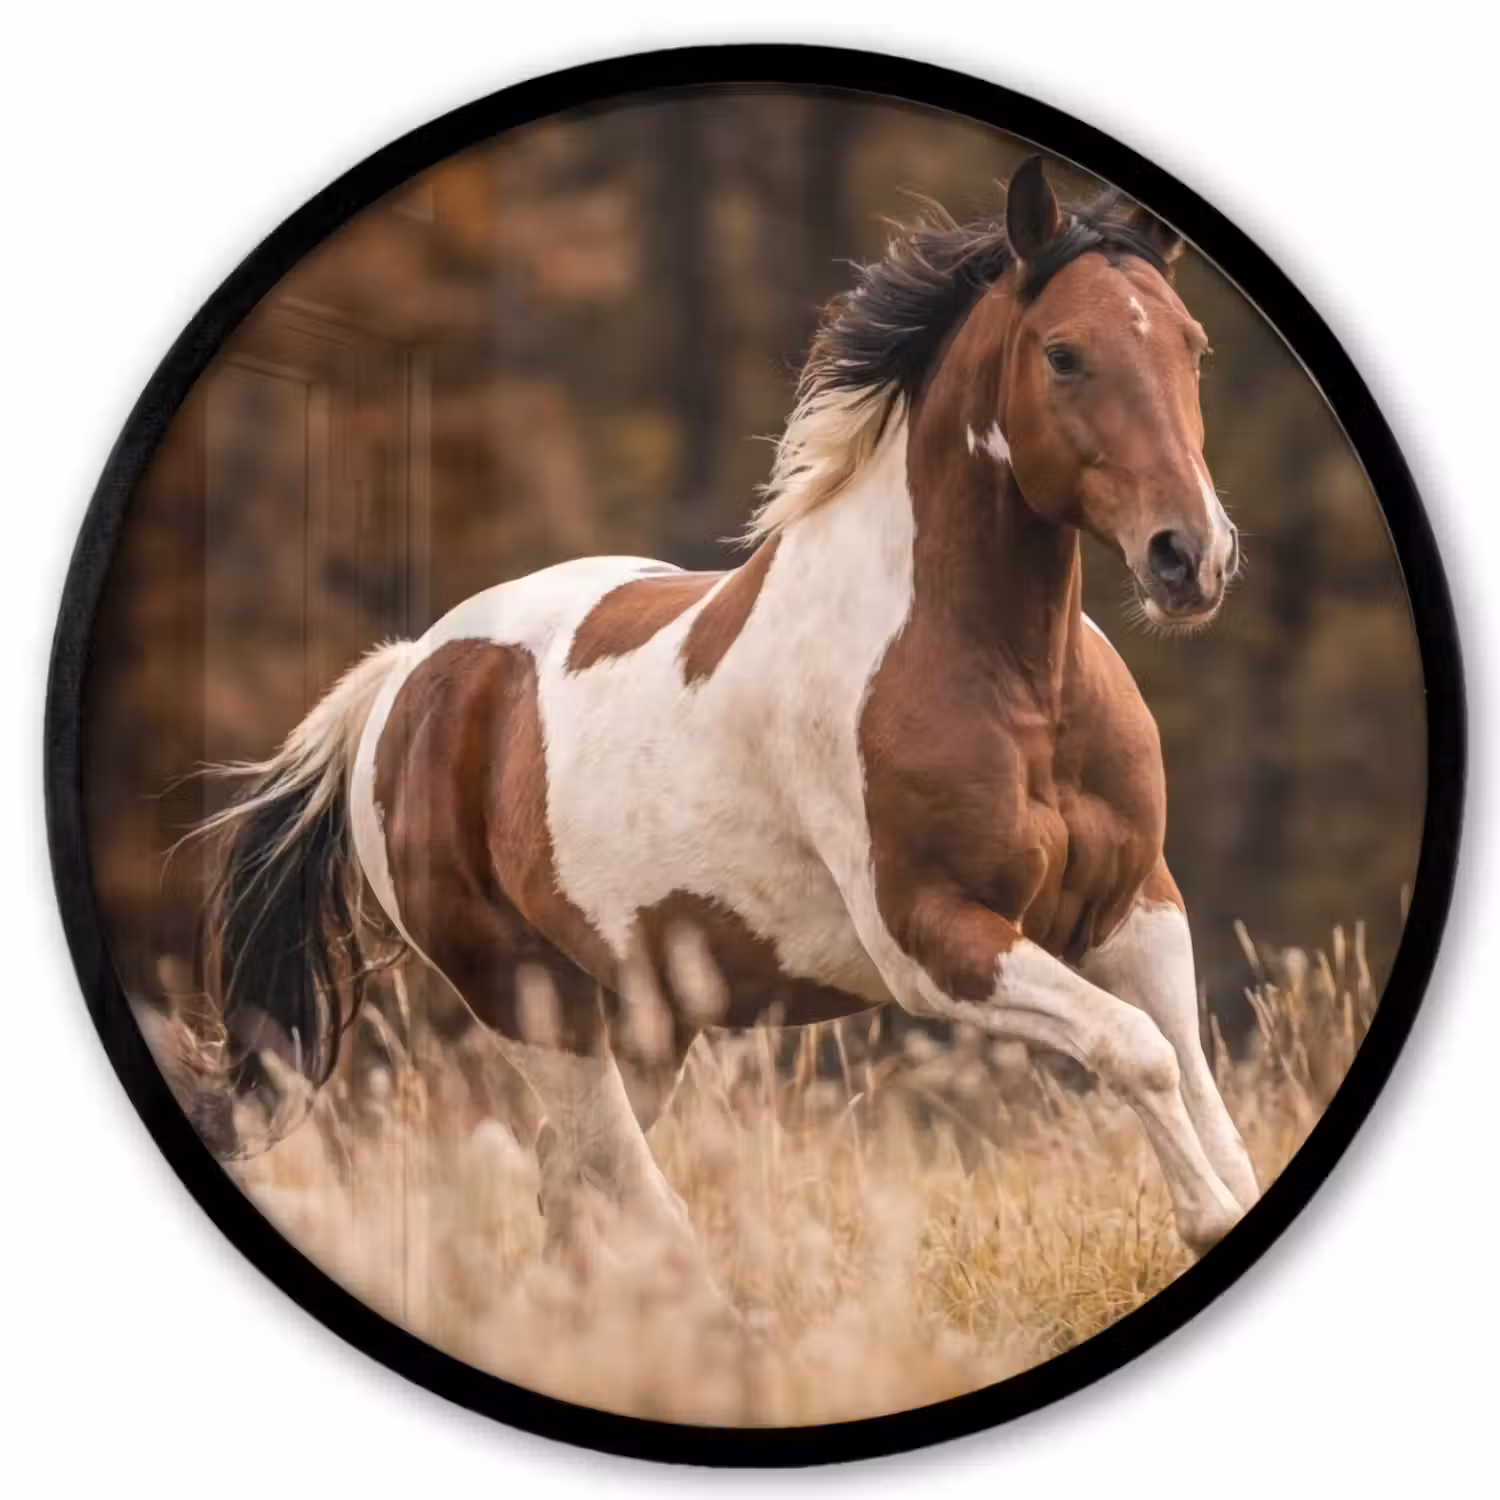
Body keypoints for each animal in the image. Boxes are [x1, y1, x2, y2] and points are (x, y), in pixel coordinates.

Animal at [197, 157, 1258, 1275]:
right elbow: (1136, 1051)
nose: (1189, 556)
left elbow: (1193, 1076)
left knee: (572, 1181)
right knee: (619, 1184)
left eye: (1192, 344)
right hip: (529, 997)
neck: (1017, 688)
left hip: (649, 1011)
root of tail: (407, 677)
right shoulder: (934, 941)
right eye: (1064, 353)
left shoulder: (1137, 909)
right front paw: (1205, 1221)